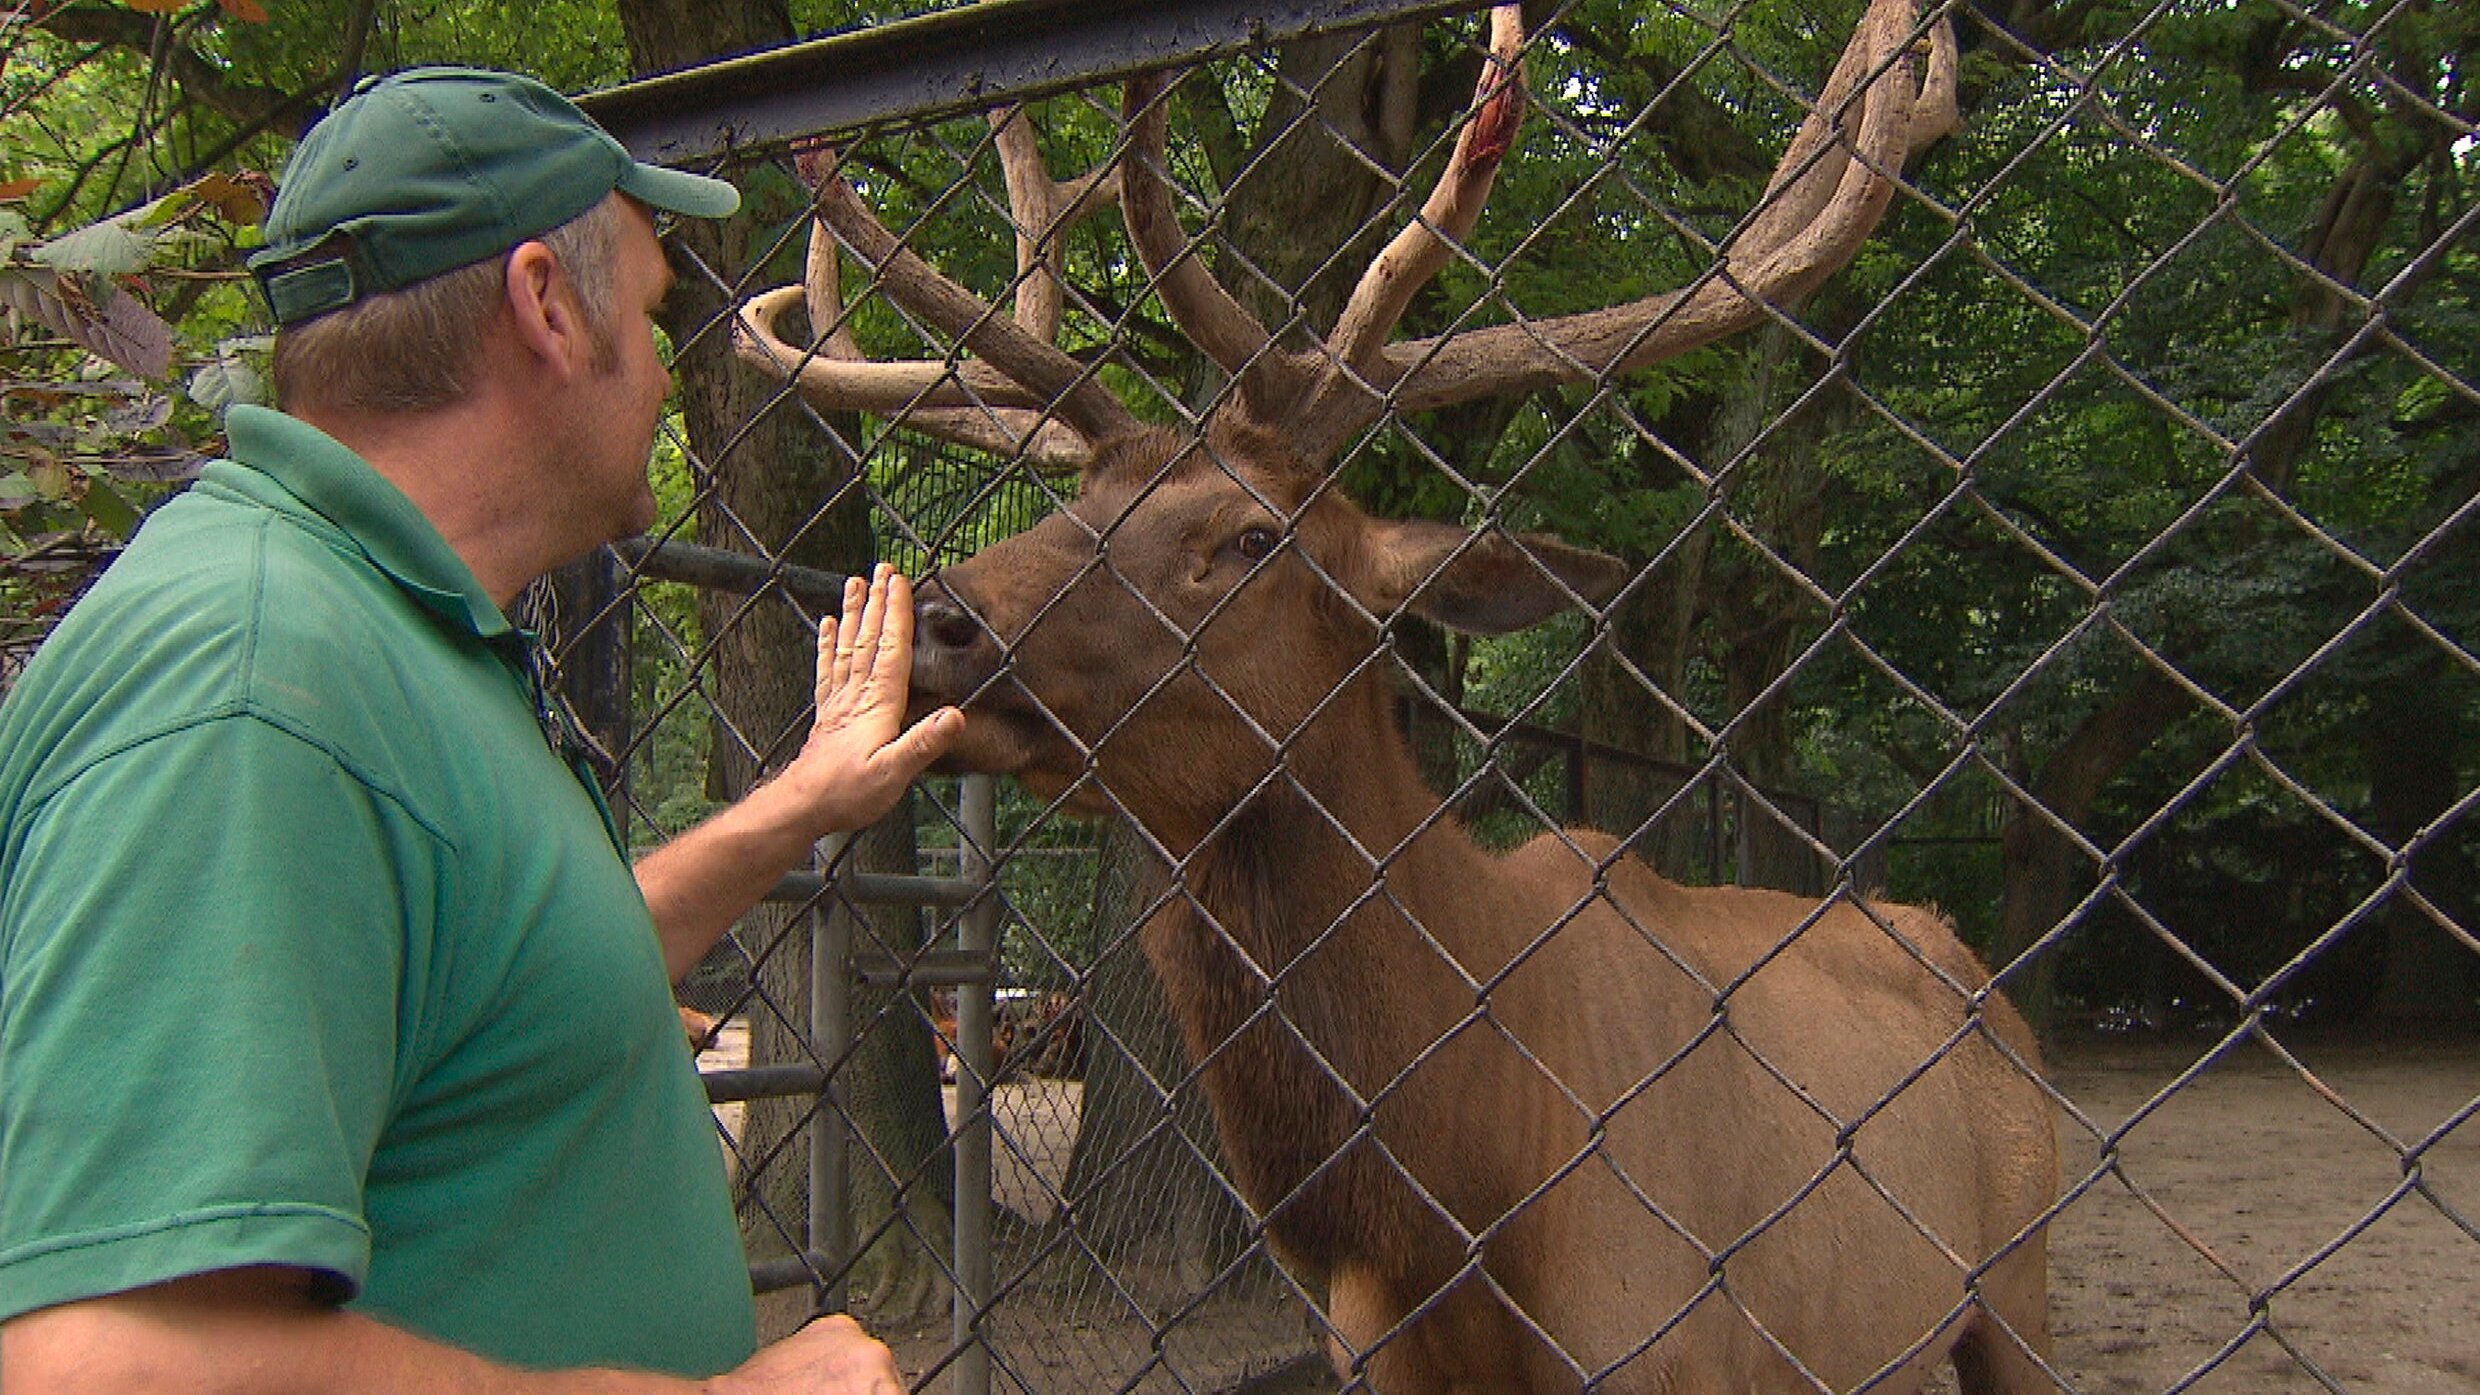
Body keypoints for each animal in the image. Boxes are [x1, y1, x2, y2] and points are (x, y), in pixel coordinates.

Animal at [744, 5, 2063, 1380]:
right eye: (1074, 504)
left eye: (1251, 536)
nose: (929, 623)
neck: (1464, 1213)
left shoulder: (1679, 1351)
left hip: (2019, 1283)